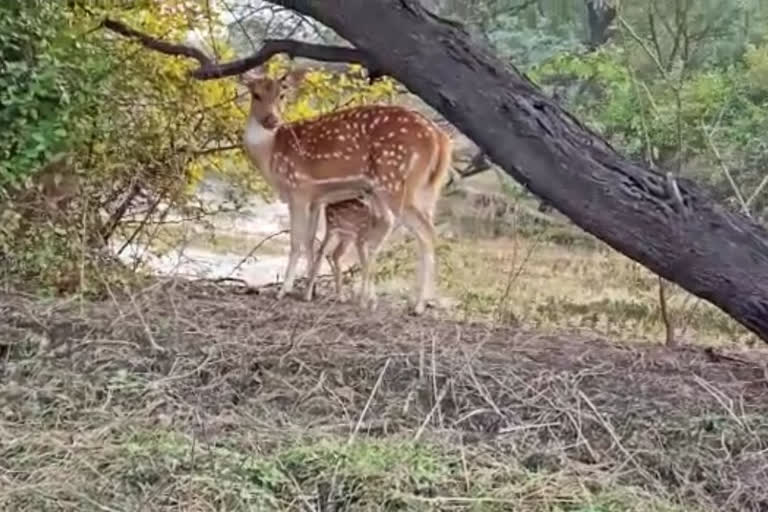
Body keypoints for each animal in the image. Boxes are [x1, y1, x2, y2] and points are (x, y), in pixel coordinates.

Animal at [242, 66, 450, 314]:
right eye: (256, 95)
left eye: (281, 95)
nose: (271, 119)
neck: (271, 154)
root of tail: (440, 139)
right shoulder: (315, 198)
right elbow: (311, 242)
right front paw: (309, 292)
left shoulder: (298, 188)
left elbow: (296, 241)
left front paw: (284, 291)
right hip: (427, 189)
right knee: (415, 229)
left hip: (395, 182)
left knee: (425, 233)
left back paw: (418, 305)